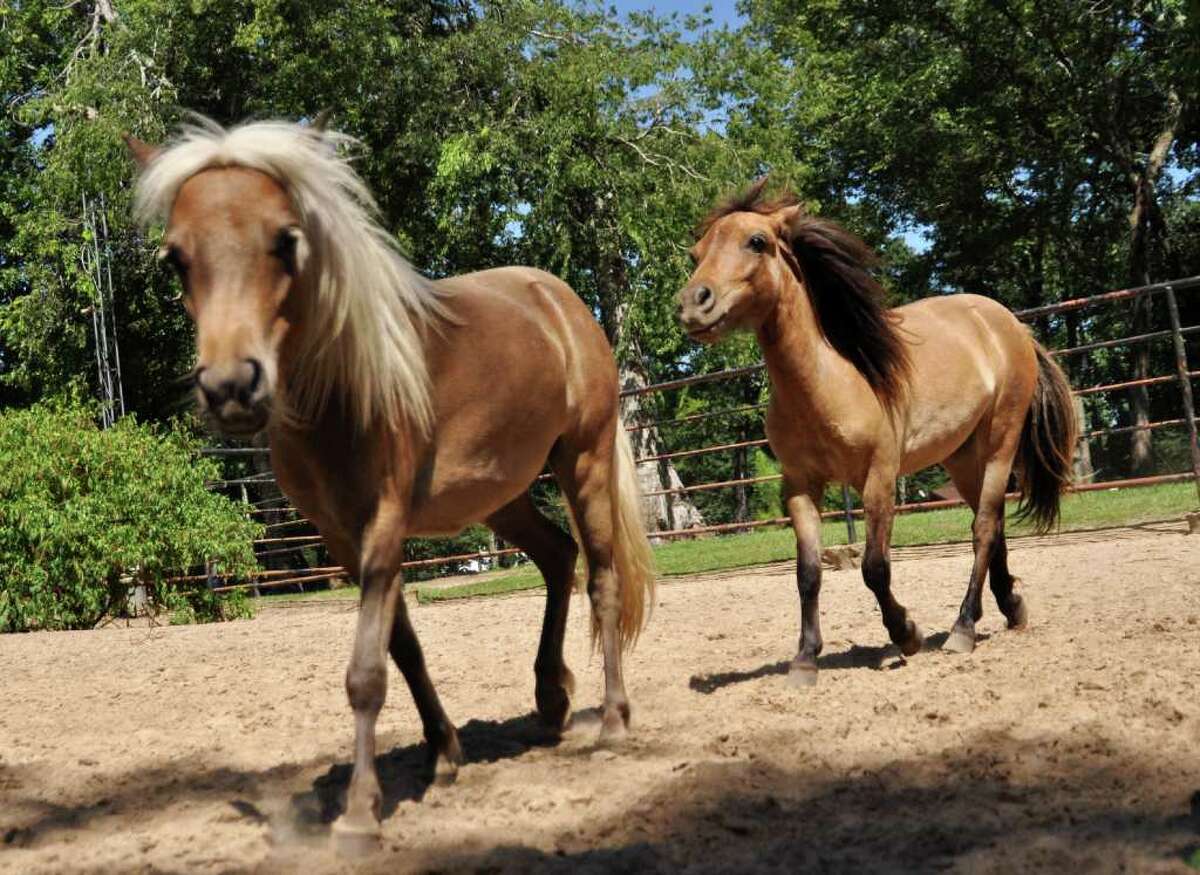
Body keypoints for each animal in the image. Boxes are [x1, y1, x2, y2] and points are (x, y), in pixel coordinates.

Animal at [129, 115, 657, 830]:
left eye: (286, 240)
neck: (342, 390)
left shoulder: (383, 522)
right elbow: (401, 649)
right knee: (556, 557)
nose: (232, 388)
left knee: (601, 578)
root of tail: (558, 298)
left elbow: (365, 672)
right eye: (176, 257)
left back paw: (613, 723)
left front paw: (359, 810)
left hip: (585, 460)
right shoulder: (343, 538)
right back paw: (551, 699)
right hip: (502, 496)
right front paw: (444, 753)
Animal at [676, 181, 1080, 686]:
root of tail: (1011, 325)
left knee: (984, 528)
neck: (831, 382)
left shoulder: (880, 478)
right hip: (963, 457)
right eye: (696, 251)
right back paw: (1012, 608)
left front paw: (905, 633)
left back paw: (962, 629)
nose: (693, 304)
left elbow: (874, 568)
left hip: (999, 445)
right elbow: (807, 573)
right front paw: (805, 659)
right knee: (994, 527)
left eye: (756, 241)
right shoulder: (799, 485)